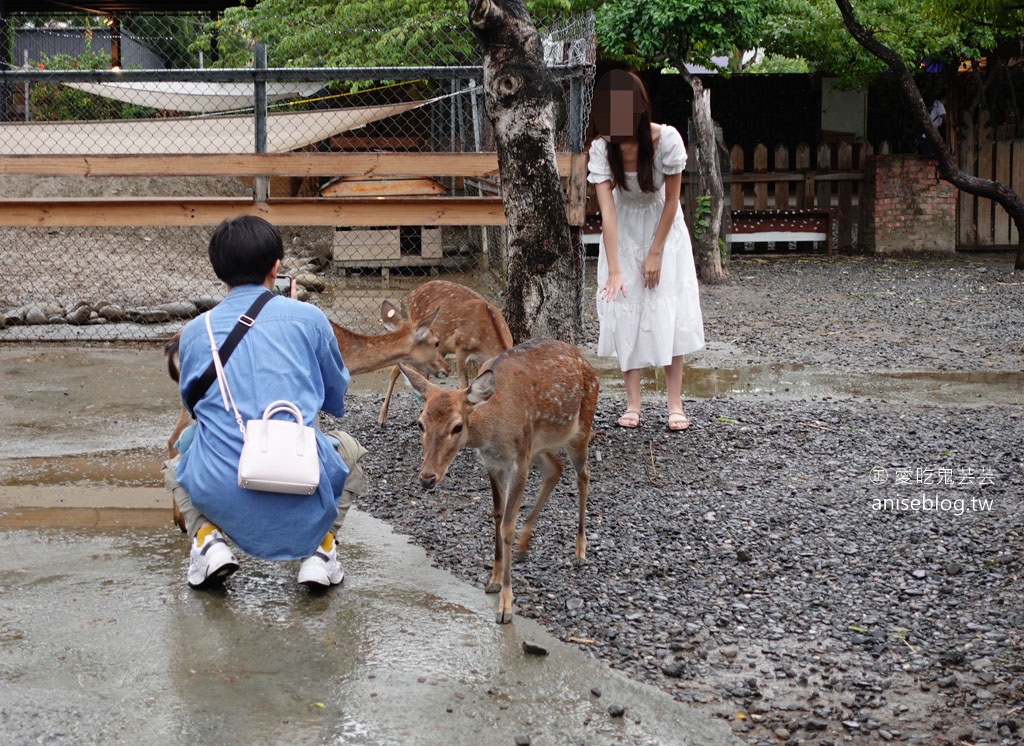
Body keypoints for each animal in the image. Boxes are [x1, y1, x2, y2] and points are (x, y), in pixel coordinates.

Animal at [163, 300, 444, 528]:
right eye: (436, 342)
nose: (445, 368)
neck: (347, 356)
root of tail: (171, 345)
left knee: (174, 439)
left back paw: (182, 518)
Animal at [376, 278, 512, 427]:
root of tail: (412, 293)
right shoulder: (461, 348)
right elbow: (464, 386)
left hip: (439, 349)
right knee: (398, 370)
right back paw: (382, 419)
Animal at [395, 339, 598, 626]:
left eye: (457, 427)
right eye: (420, 423)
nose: (427, 477)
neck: (492, 432)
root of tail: (585, 362)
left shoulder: (518, 461)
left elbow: (507, 527)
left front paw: (505, 606)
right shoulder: (493, 463)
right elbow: (497, 515)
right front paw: (493, 579)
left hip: (580, 429)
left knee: (583, 477)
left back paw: (580, 551)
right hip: (538, 445)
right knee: (555, 469)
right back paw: (524, 545)